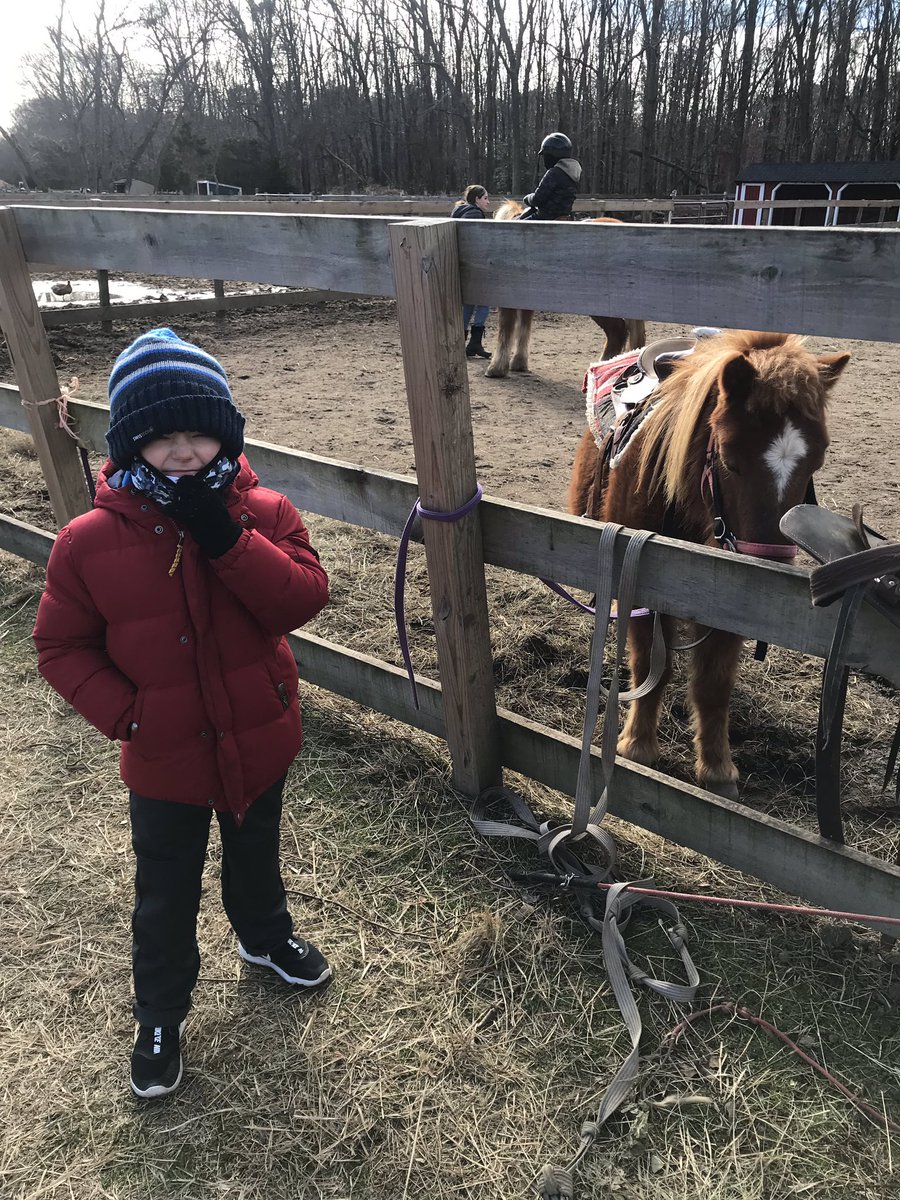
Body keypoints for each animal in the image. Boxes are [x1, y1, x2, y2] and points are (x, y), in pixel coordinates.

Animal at [571, 328, 854, 796]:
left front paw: (717, 770)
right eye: (728, 459)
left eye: (816, 461)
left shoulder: (725, 592)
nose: (770, 570)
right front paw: (637, 746)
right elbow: (649, 665)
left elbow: (712, 684)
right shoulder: (640, 577)